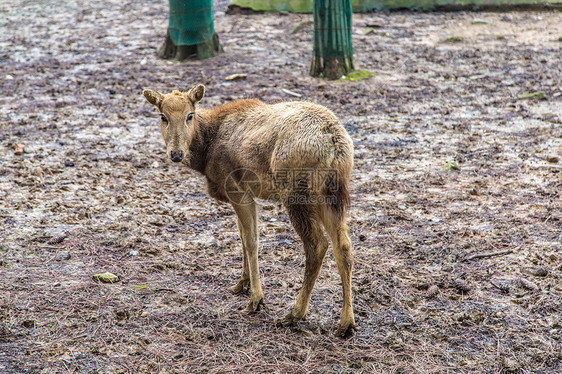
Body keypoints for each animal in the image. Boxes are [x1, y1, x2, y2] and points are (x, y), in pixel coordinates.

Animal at [142, 86, 356, 338]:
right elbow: (243, 237)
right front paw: (242, 284)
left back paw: (295, 314)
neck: (205, 155)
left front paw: (256, 299)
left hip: (296, 192)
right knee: (344, 246)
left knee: (317, 245)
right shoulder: (244, 194)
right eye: (162, 116)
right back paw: (346, 323)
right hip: (332, 196)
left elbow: (252, 241)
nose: (176, 154)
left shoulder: (237, 189)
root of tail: (334, 139)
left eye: (190, 115)